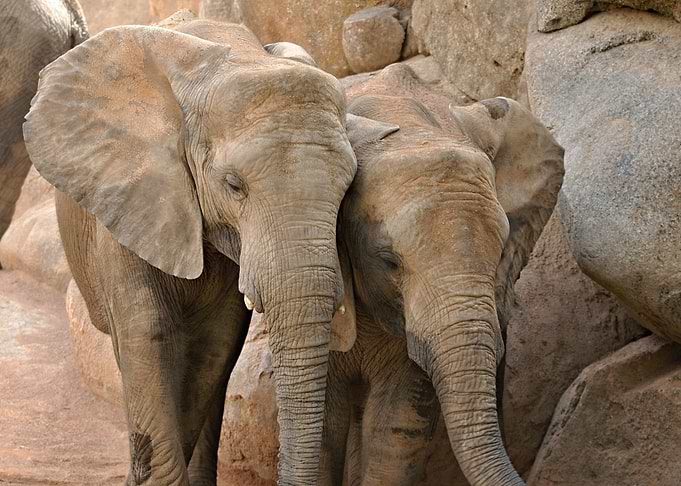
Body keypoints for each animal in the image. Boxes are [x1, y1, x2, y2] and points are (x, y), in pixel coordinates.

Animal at [23, 18, 361, 486]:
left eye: (348, 187)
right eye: (234, 185)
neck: (231, 59)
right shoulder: (130, 196)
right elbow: (148, 333)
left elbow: (213, 344)